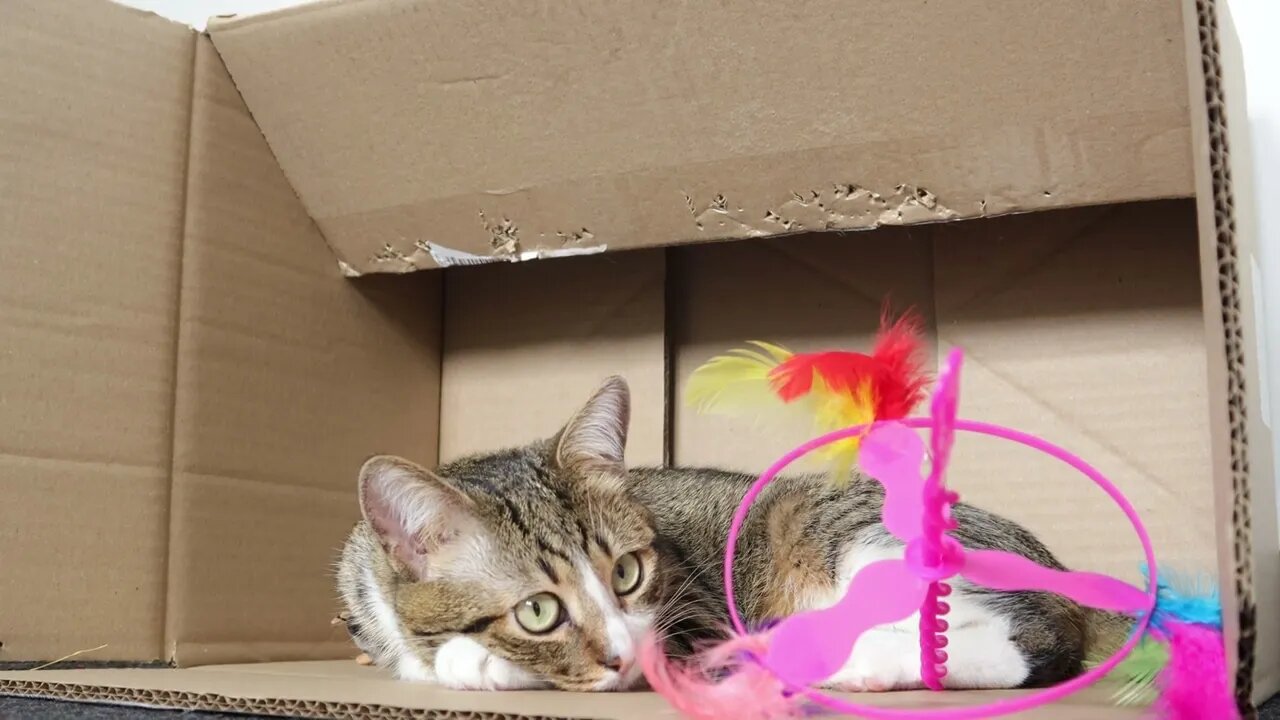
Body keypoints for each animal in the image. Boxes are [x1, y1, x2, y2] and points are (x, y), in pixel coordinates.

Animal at [335, 376, 1126, 691]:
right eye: (537, 608)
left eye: (627, 573)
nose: (622, 651)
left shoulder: (687, 620)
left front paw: (476, 660)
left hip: (835, 527)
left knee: (1010, 645)